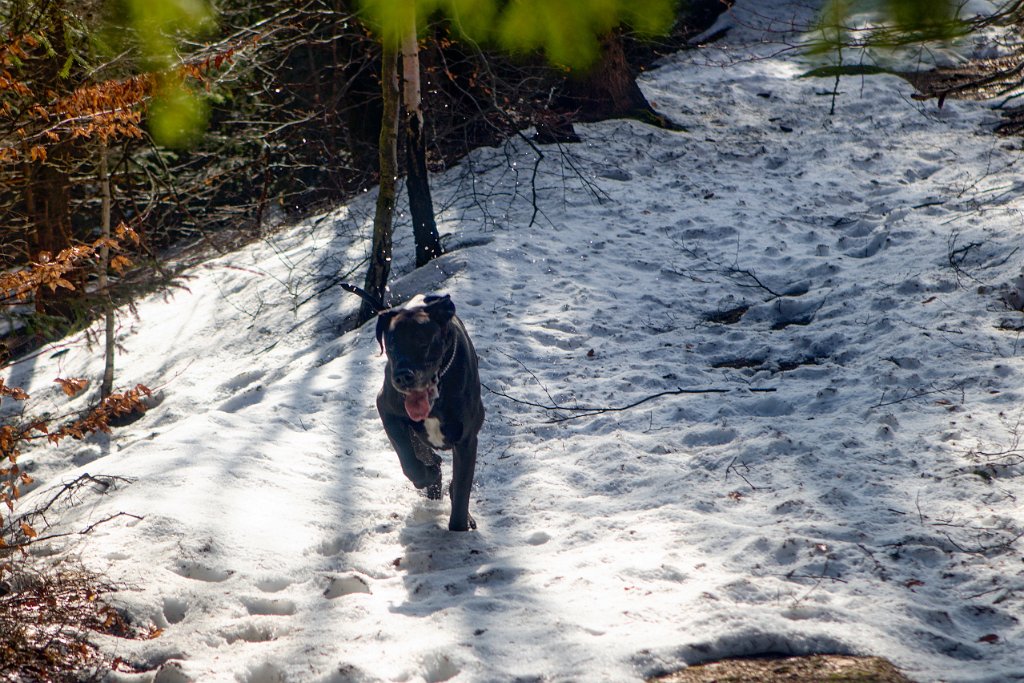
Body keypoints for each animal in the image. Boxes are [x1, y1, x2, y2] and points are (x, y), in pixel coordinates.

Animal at [344, 286, 483, 532]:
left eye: (422, 341)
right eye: (391, 344)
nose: (401, 376)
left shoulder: (466, 440)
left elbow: (461, 488)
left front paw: (459, 527)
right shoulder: (387, 411)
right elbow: (409, 463)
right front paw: (427, 474)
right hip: (415, 434)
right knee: (428, 457)